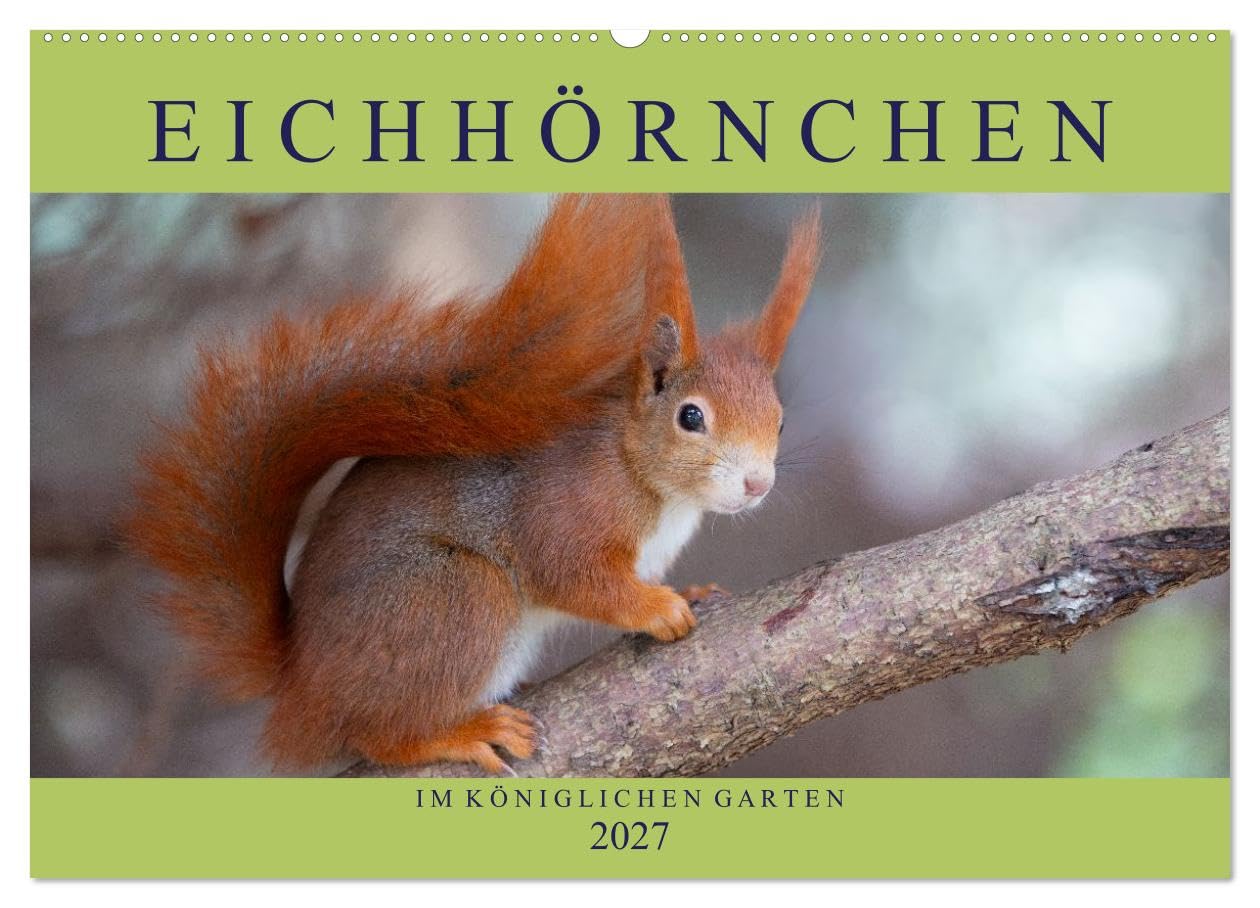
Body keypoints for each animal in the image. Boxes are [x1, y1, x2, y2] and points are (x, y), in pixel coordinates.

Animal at [125, 194, 821, 774]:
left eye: (781, 419)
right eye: (691, 417)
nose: (757, 483)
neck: (645, 477)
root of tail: (301, 683)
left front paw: (692, 589)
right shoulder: (564, 512)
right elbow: (574, 575)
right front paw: (658, 608)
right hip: (455, 595)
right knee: (377, 735)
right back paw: (460, 733)